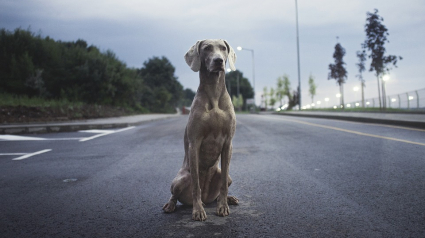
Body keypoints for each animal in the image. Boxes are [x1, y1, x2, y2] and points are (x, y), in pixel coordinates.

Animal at [162, 38, 238, 221]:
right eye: (207, 48)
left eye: (223, 48)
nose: (218, 61)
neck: (214, 93)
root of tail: (206, 198)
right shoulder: (194, 143)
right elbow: (196, 183)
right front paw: (198, 211)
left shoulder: (228, 143)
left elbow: (223, 184)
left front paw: (223, 207)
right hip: (179, 179)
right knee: (175, 194)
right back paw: (171, 205)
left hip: (226, 176)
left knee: (223, 183)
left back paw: (228, 199)